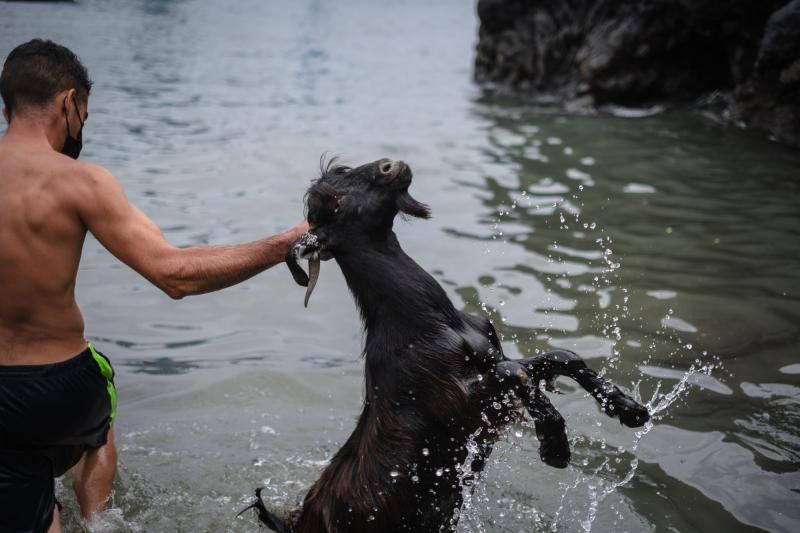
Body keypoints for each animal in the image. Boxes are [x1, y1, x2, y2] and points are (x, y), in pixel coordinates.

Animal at [245, 158, 648, 532]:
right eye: (335, 202)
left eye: (344, 170)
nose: (391, 164)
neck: (433, 320)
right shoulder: (460, 403)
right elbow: (514, 372)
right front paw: (555, 444)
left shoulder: (489, 361)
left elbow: (561, 357)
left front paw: (628, 409)